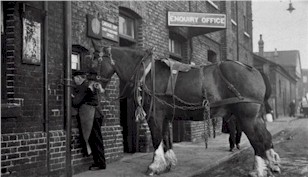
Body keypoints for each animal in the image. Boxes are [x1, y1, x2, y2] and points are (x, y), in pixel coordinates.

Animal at [91, 44, 282, 177]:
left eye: (93, 60)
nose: (93, 86)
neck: (146, 72)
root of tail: (253, 69)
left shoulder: (155, 115)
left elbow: (157, 139)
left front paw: (155, 166)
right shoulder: (165, 116)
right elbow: (166, 139)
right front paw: (168, 163)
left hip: (246, 116)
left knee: (257, 141)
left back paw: (258, 169)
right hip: (255, 117)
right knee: (266, 137)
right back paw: (272, 163)